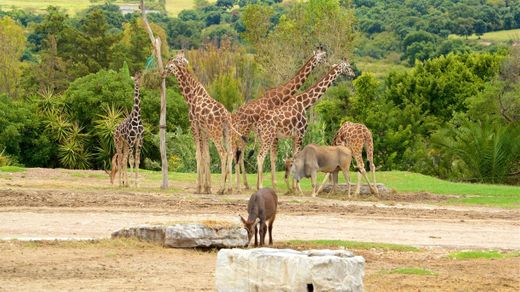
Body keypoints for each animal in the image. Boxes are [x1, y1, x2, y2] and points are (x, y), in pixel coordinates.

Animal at [164, 53, 243, 194]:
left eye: (169, 66)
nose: (162, 73)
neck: (190, 96)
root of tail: (226, 117)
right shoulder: (204, 131)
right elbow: (206, 156)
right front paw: (207, 188)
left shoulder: (194, 127)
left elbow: (198, 155)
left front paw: (199, 188)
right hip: (226, 133)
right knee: (230, 153)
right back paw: (229, 189)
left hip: (216, 132)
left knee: (223, 153)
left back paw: (221, 189)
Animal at [232, 48, 324, 192]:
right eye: (321, 56)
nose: (325, 62)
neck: (280, 96)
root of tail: (235, 115)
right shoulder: (272, 133)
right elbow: (272, 157)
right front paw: (272, 185)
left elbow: (270, 156)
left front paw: (261, 184)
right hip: (244, 131)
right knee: (238, 153)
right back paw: (240, 185)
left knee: (237, 153)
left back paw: (241, 185)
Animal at [254, 60, 356, 190]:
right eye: (348, 67)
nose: (353, 74)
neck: (304, 103)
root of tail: (259, 124)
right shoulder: (301, 133)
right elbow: (296, 157)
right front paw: (297, 188)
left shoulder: (294, 136)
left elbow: (293, 157)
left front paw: (293, 188)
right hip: (268, 137)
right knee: (260, 156)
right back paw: (262, 186)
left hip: (264, 138)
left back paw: (261, 186)